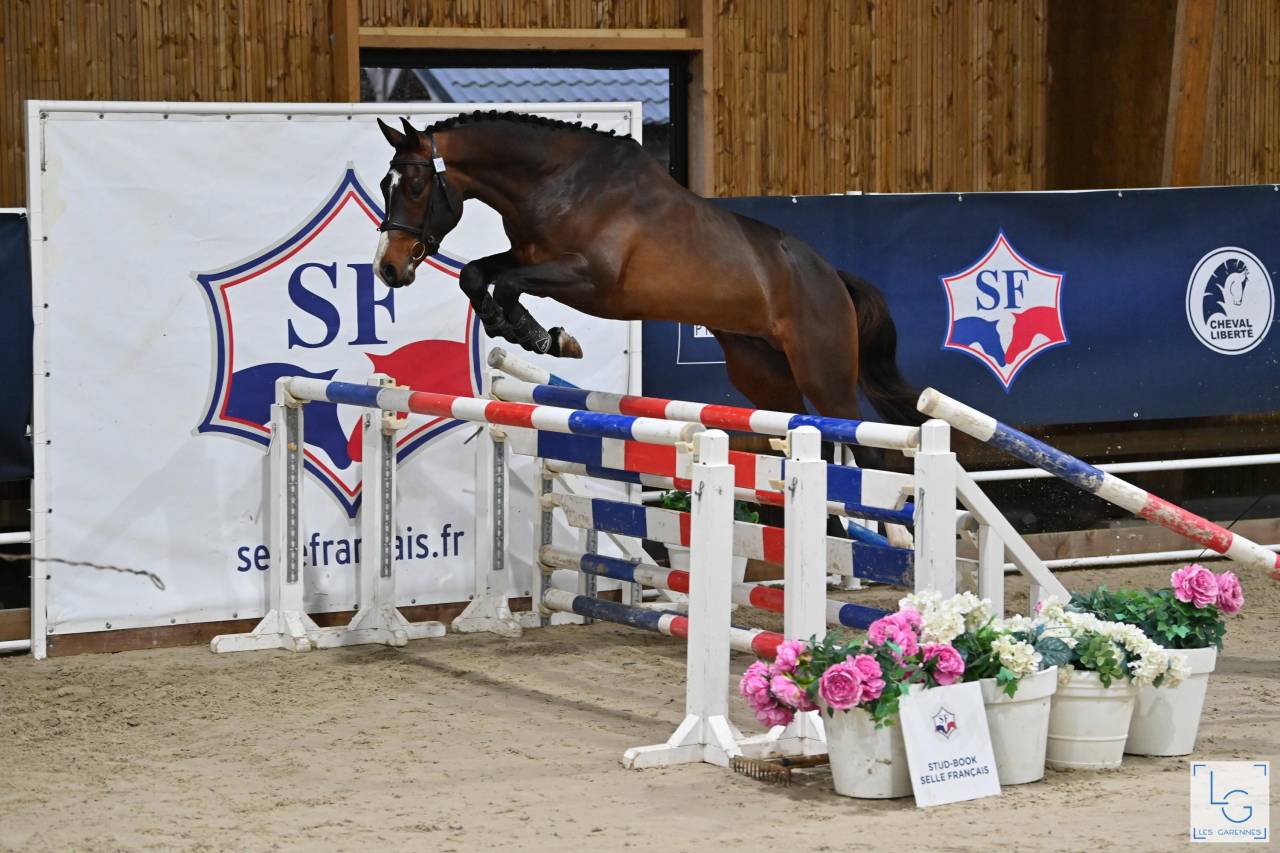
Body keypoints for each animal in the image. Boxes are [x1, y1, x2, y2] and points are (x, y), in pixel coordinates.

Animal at [371, 111, 922, 437]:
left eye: (416, 186)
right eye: (383, 184)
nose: (388, 268)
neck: (558, 182)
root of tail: (833, 277)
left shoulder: (590, 282)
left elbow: (505, 284)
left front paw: (547, 338)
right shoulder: (525, 254)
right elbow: (476, 274)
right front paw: (511, 327)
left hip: (826, 375)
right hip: (762, 374)